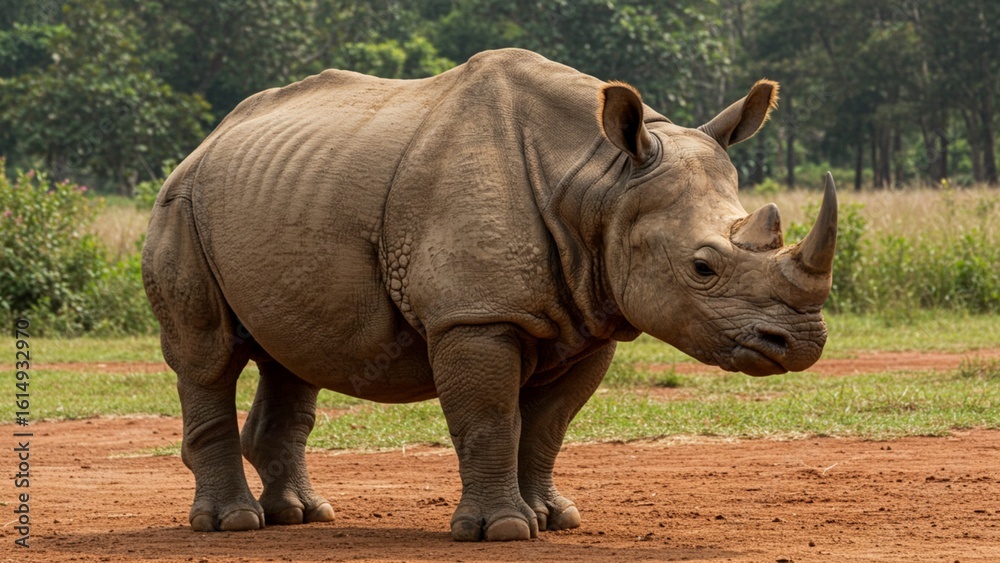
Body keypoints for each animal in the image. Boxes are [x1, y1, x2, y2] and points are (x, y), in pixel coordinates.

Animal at [142, 48, 837, 542]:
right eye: (702, 267)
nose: (801, 343)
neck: (600, 181)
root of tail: (205, 141)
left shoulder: (593, 315)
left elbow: (548, 424)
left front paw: (555, 519)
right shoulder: (473, 316)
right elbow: (490, 417)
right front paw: (501, 530)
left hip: (277, 196)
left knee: (295, 358)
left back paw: (305, 516)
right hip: (180, 203)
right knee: (207, 357)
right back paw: (231, 524)